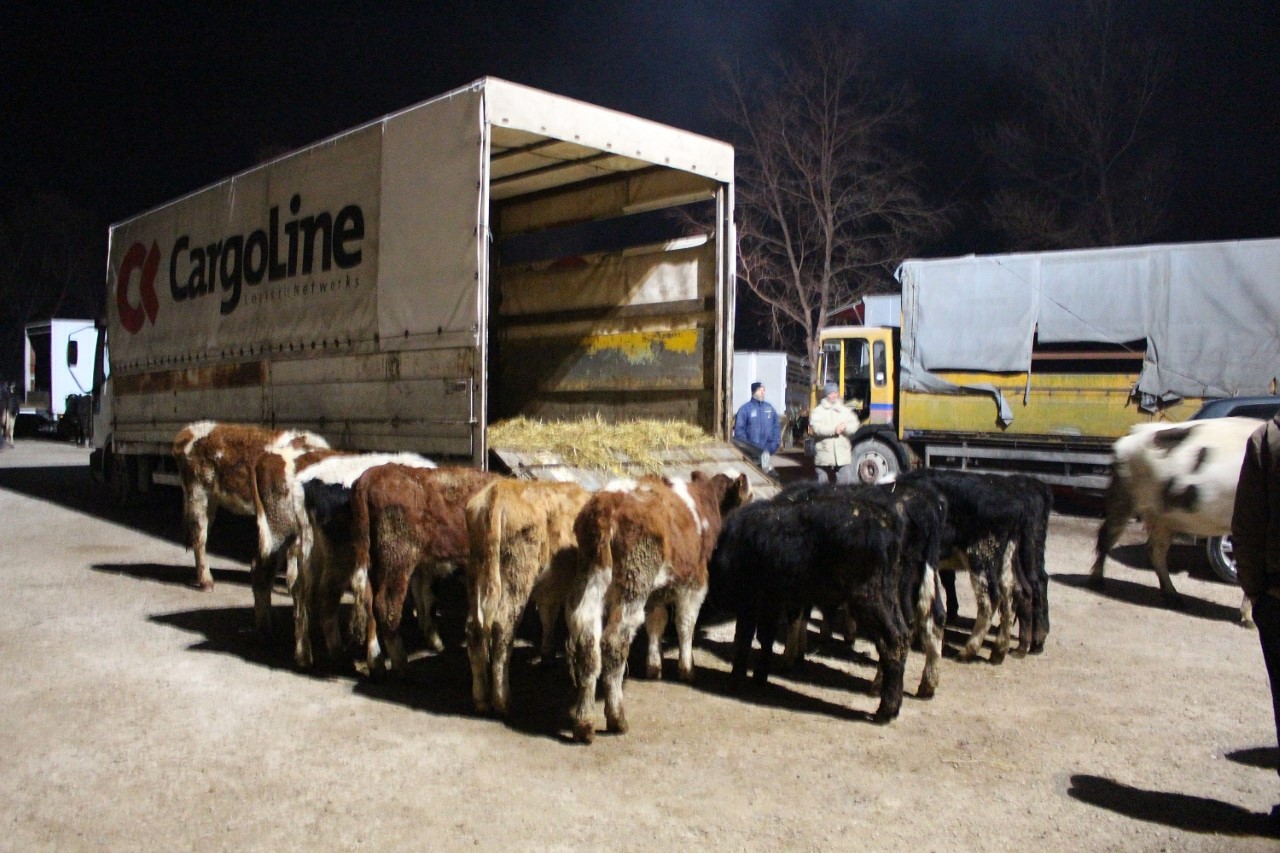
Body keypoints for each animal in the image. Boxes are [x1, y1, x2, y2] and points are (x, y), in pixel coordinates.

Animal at [171, 420, 327, 591]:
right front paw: (292, 583)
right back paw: (206, 582)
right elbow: (294, 549)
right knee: (199, 536)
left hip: (210, 499)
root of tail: (188, 431)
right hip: (198, 493)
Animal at [348, 466, 501, 671]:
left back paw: (376, 661)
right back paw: (401, 664)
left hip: (372, 560)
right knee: (386, 607)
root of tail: (371, 475)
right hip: (397, 560)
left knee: (368, 600)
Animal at [465, 481, 593, 712]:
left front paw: (548, 657)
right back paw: (502, 700)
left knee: (474, 629)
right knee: (502, 626)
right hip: (517, 574)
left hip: (476, 572)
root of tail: (498, 489)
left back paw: (480, 699)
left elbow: (548, 615)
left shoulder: (550, 588)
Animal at [563, 468, 747, 742]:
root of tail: (608, 505)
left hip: (591, 577)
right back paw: (616, 718)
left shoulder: (656, 592)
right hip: (634, 582)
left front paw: (653, 665)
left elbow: (656, 622)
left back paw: (584, 723)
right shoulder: (695, 582)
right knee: (615, 642)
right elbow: (685, 624)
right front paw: (687, 668)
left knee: (587, 640)